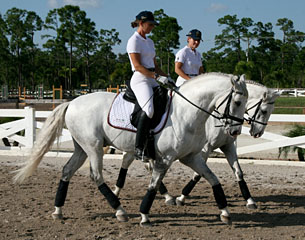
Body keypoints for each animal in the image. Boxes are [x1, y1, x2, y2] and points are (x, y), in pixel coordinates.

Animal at [13, 72, 247, 226]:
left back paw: (58, 210)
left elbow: (213, 179)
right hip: (93, 147)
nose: (235, 131)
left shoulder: (191, 157)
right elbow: (153, 185)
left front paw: (225, 211)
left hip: (81, 148)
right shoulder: (166, 159)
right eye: (237, 102)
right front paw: (144, 215)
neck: (186, 113)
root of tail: (72, 102)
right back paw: (119, 211)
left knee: (67, 171)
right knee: (96, 175)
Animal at [113, 80, 280, 208]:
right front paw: (182, 197)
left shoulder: (228, 146)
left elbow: (238, 172)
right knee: (136, 163)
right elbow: (198, 174)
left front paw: (250, 200)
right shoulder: (205, 149)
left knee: (138, 163)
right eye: (264, 111)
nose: (257, 133)